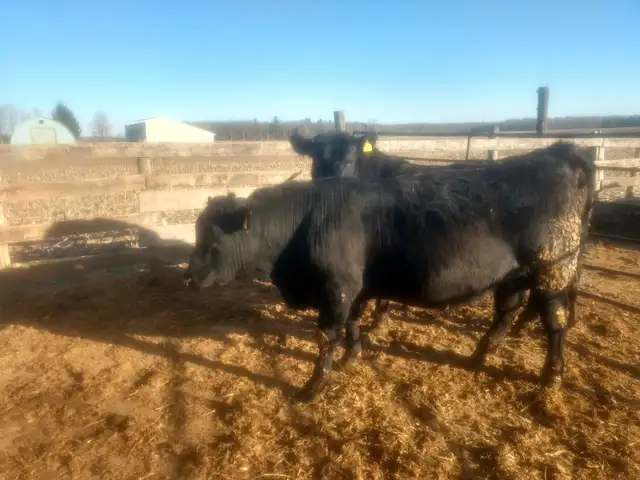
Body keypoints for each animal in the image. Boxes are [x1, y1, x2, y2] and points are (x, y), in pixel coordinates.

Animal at [184, 141, 596, 401]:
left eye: (212, 240)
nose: (189, 278)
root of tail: (559, 152)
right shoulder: (355, 288)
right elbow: (352, 323)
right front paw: (353, 356)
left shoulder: (337, 288)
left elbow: (326, 336)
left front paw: (312, 388)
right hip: (512, 274)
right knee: (507, 311)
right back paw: (478, 357)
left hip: (553, 269)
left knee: (555, 321)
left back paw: (551, 377)